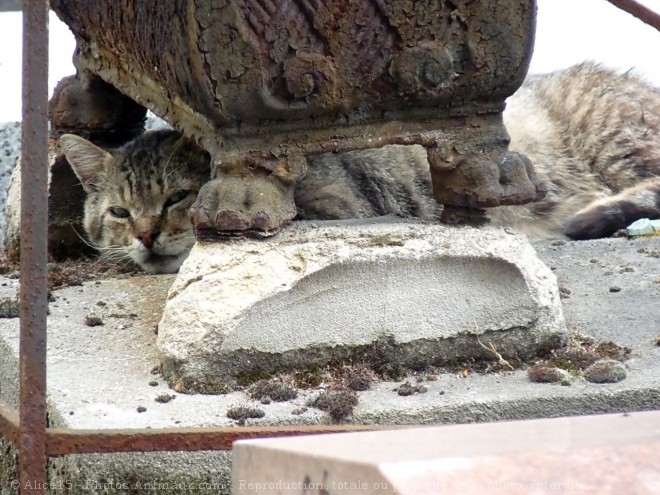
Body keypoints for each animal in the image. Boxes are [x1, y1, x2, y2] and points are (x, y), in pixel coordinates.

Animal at [60, 63, 660, 276]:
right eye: (119, 213)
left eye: (177, 198)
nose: (145, 235)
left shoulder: (339, 207)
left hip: (615, 138)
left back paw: (595, 215)